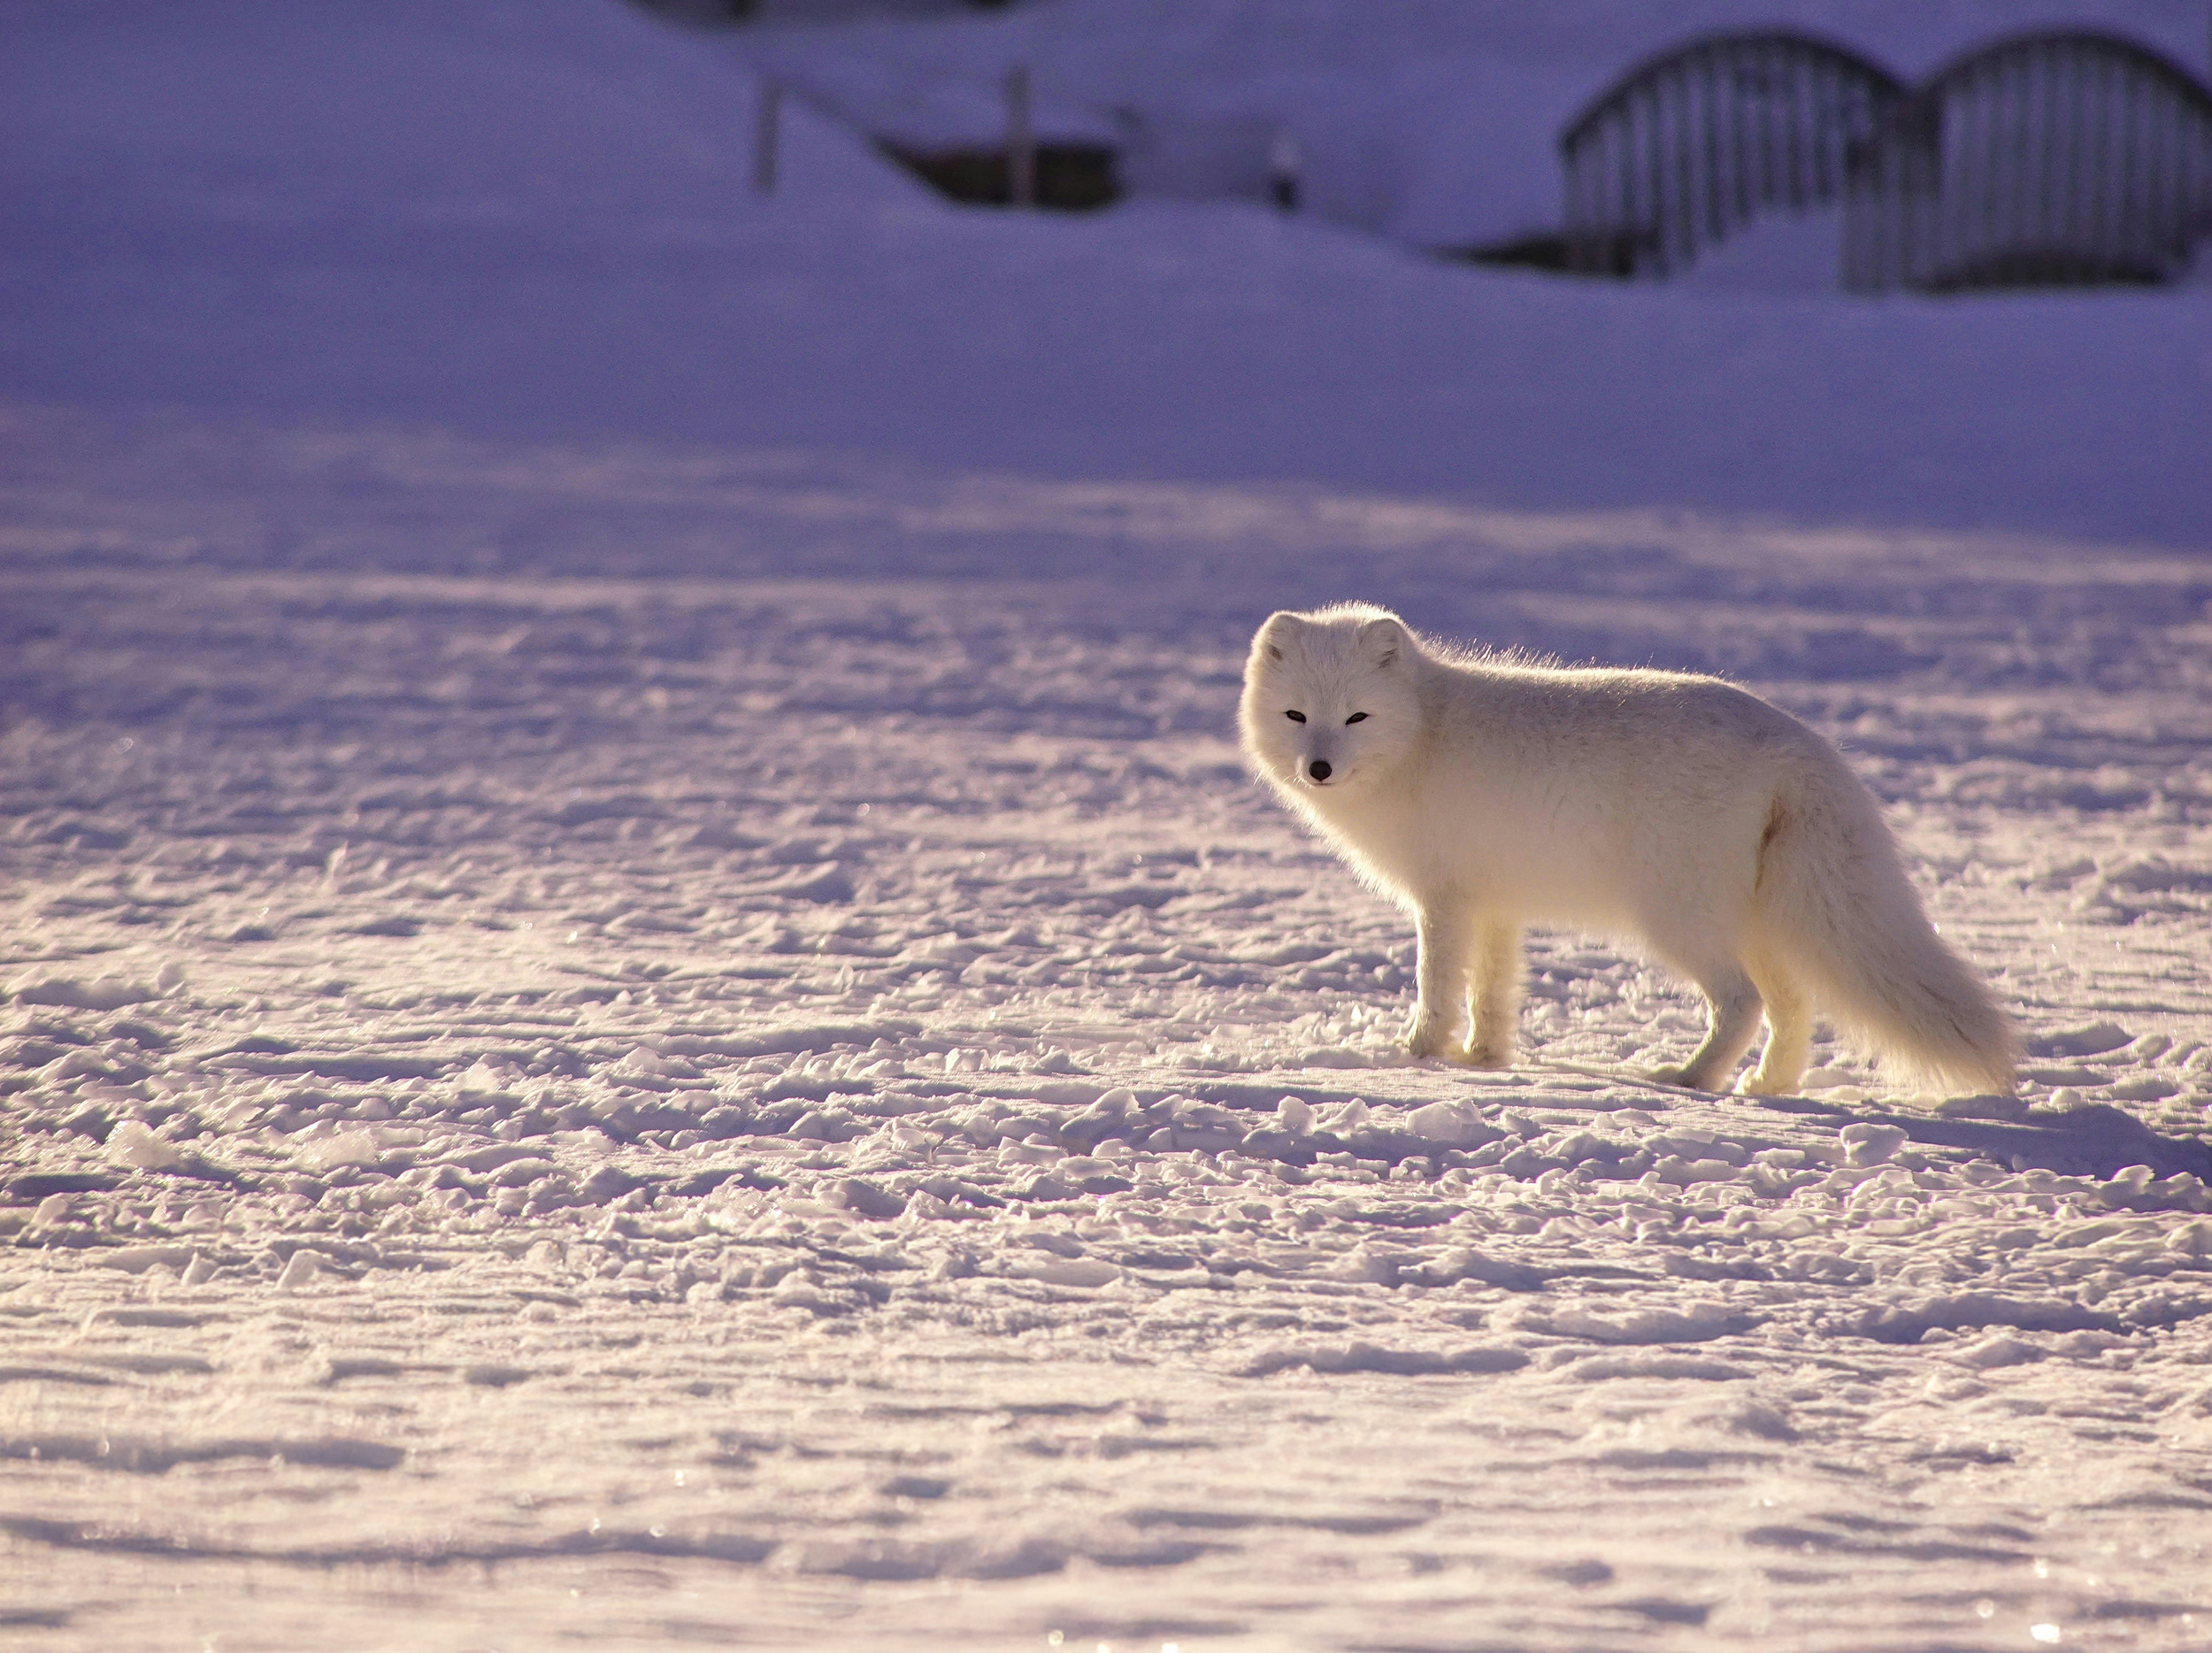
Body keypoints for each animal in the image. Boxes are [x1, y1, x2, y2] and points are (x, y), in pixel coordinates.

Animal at [1238, 604, 2018, 1098]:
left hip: (1677, 918)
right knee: (1792, 1007)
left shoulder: (1445, 900)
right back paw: (1768, 1085)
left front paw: (1416, 1055)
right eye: (1297, 716)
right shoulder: (1496, 904)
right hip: (1756, 922)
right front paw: (1484, 1059)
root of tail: (1802, 743)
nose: (1318, 769)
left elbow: (1437, 986)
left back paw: (1692, 1079)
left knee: (1742, 1002)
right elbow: (1493, 991)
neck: (1423, 733)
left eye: (1357, 717)